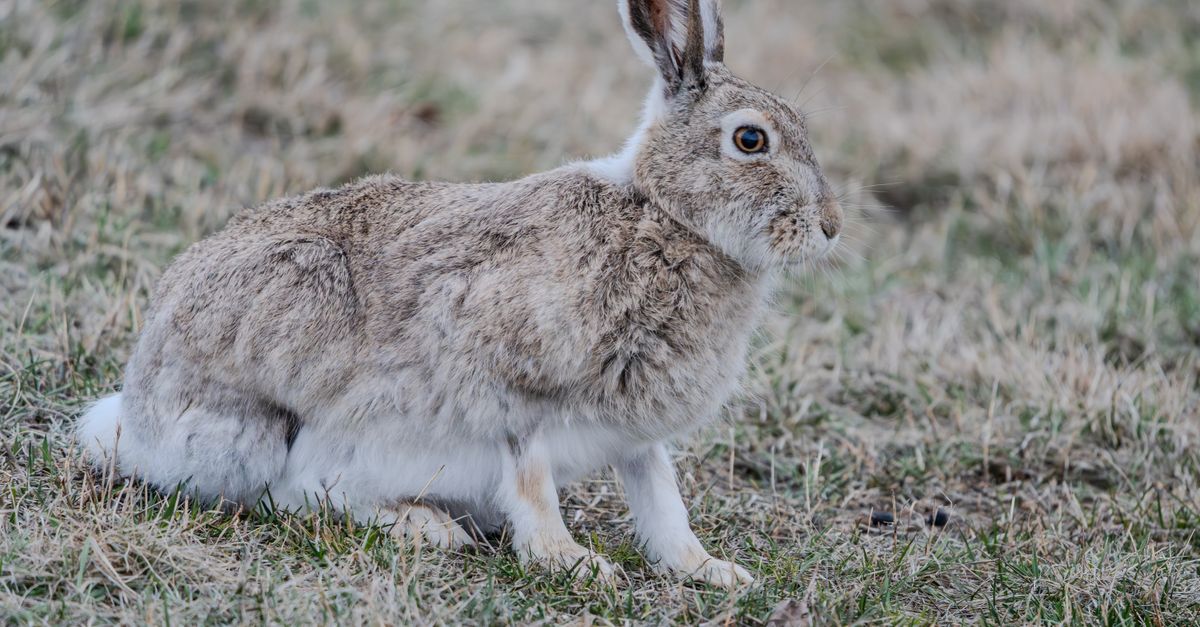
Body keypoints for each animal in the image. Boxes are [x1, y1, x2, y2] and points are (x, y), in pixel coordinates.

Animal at [77, 0, 842, 588]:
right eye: (750, 140)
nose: (831, 226)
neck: (664, 215)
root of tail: (135, 417)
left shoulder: (636, 432)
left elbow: (662, 499)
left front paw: (713, 570)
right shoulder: (515, 387)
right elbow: (532, 482)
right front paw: (573, 562)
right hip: (272, 413)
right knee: (292, 493)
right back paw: (427, 528)